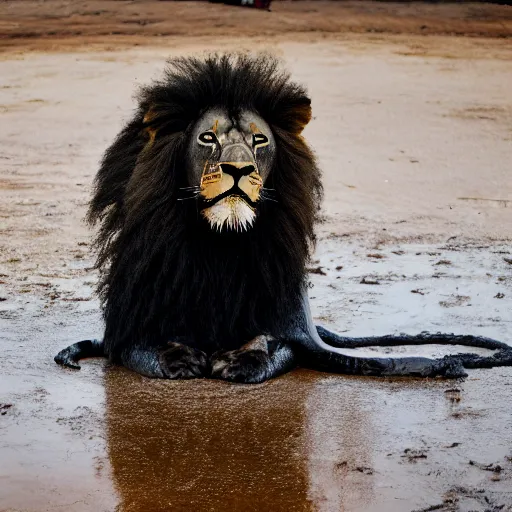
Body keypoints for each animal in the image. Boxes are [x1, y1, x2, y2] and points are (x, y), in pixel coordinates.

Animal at [54, 54, 510, 382]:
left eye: (259, 140)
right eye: (207, 137)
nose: (238, 169)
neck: (220, 244)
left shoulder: (290, 325)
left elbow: (286, 347)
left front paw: (241, 359)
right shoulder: (131, 325)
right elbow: (144, 348)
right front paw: (181, 358)